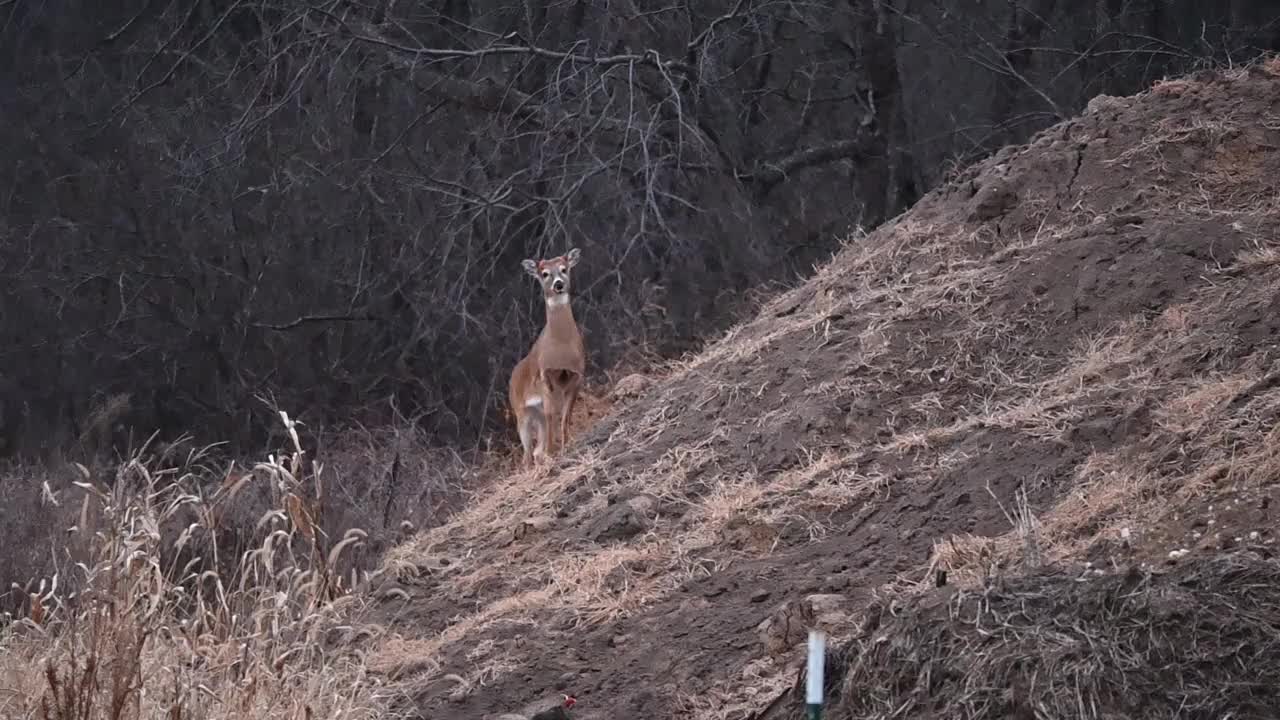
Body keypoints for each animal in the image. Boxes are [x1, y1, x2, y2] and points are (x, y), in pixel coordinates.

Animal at [512, 249, 586, 468]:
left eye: (564, 269)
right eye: (544, 273)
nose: (558, 284)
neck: (561, 347)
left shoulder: (578, 375)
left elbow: (565, 416)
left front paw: (566, 445)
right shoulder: (546, 377)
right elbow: (553, 415)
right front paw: (553, 452)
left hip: (535, 413)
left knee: (536, 448)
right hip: (521, 413)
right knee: (527, 453)